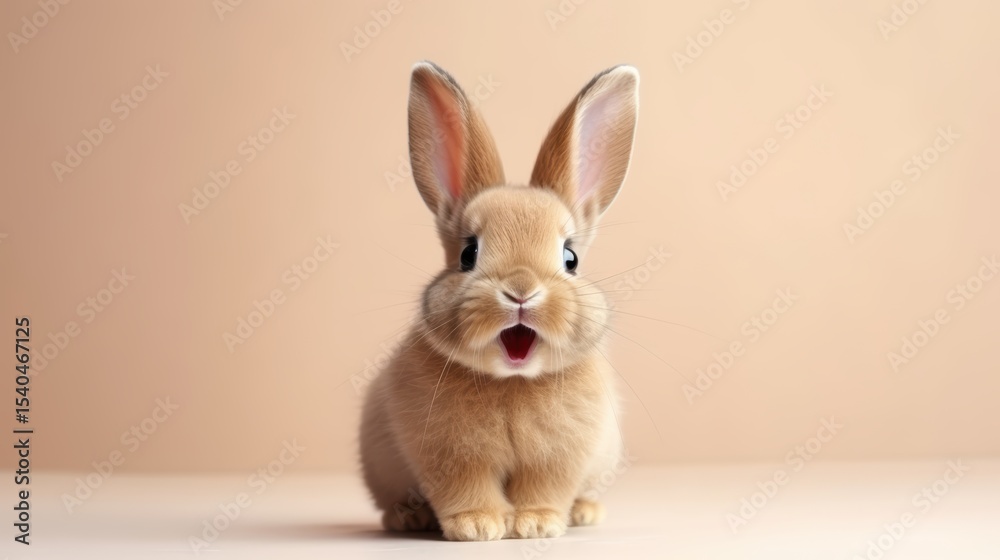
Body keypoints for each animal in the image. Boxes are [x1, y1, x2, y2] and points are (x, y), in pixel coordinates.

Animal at [359, 61, 639, 541]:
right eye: (468, 254)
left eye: (571, 259)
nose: (521, 290)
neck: (513, 382)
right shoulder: (449, 455)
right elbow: (465, 489)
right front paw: (477, 527)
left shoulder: (558, 459)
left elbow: (544, 488)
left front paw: (536, 525)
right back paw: (407, 518)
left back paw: (585, 513)